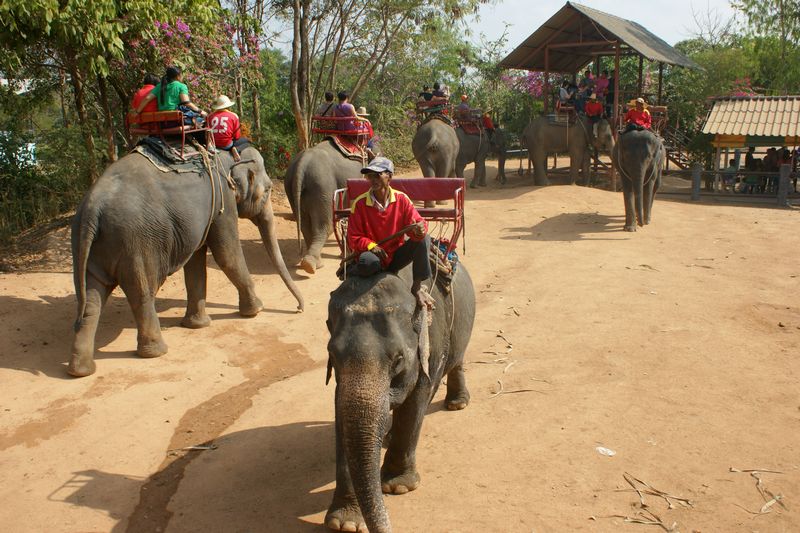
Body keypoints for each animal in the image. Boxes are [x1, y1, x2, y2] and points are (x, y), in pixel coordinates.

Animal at [69, 143, 304, 376]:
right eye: (268, 190)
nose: (299, 309)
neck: (228, 156)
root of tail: (93, 208)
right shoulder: (223, 202)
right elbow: (226, 254)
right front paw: (257, 310)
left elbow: (196, 263)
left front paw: (197, 325)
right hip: (135, 242)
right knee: (141, 292)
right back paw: (156, 352)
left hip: (87, 246)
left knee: (91, 298)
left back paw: (81, 370)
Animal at [284, 140, 366, 274]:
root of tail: (303, 163)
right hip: (323, 187)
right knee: (324, 226)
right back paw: (312, 265)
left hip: (292, 188)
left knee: (305, 225)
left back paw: (311, 264)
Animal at [324, 264, 476, 528]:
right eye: (332, 354)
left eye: (398, 359)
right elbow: (341, 412)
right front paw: (345, 523)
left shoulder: (431, 343)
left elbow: (416, 400)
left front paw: (398, 487)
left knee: (456, 361)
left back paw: (457, 404)